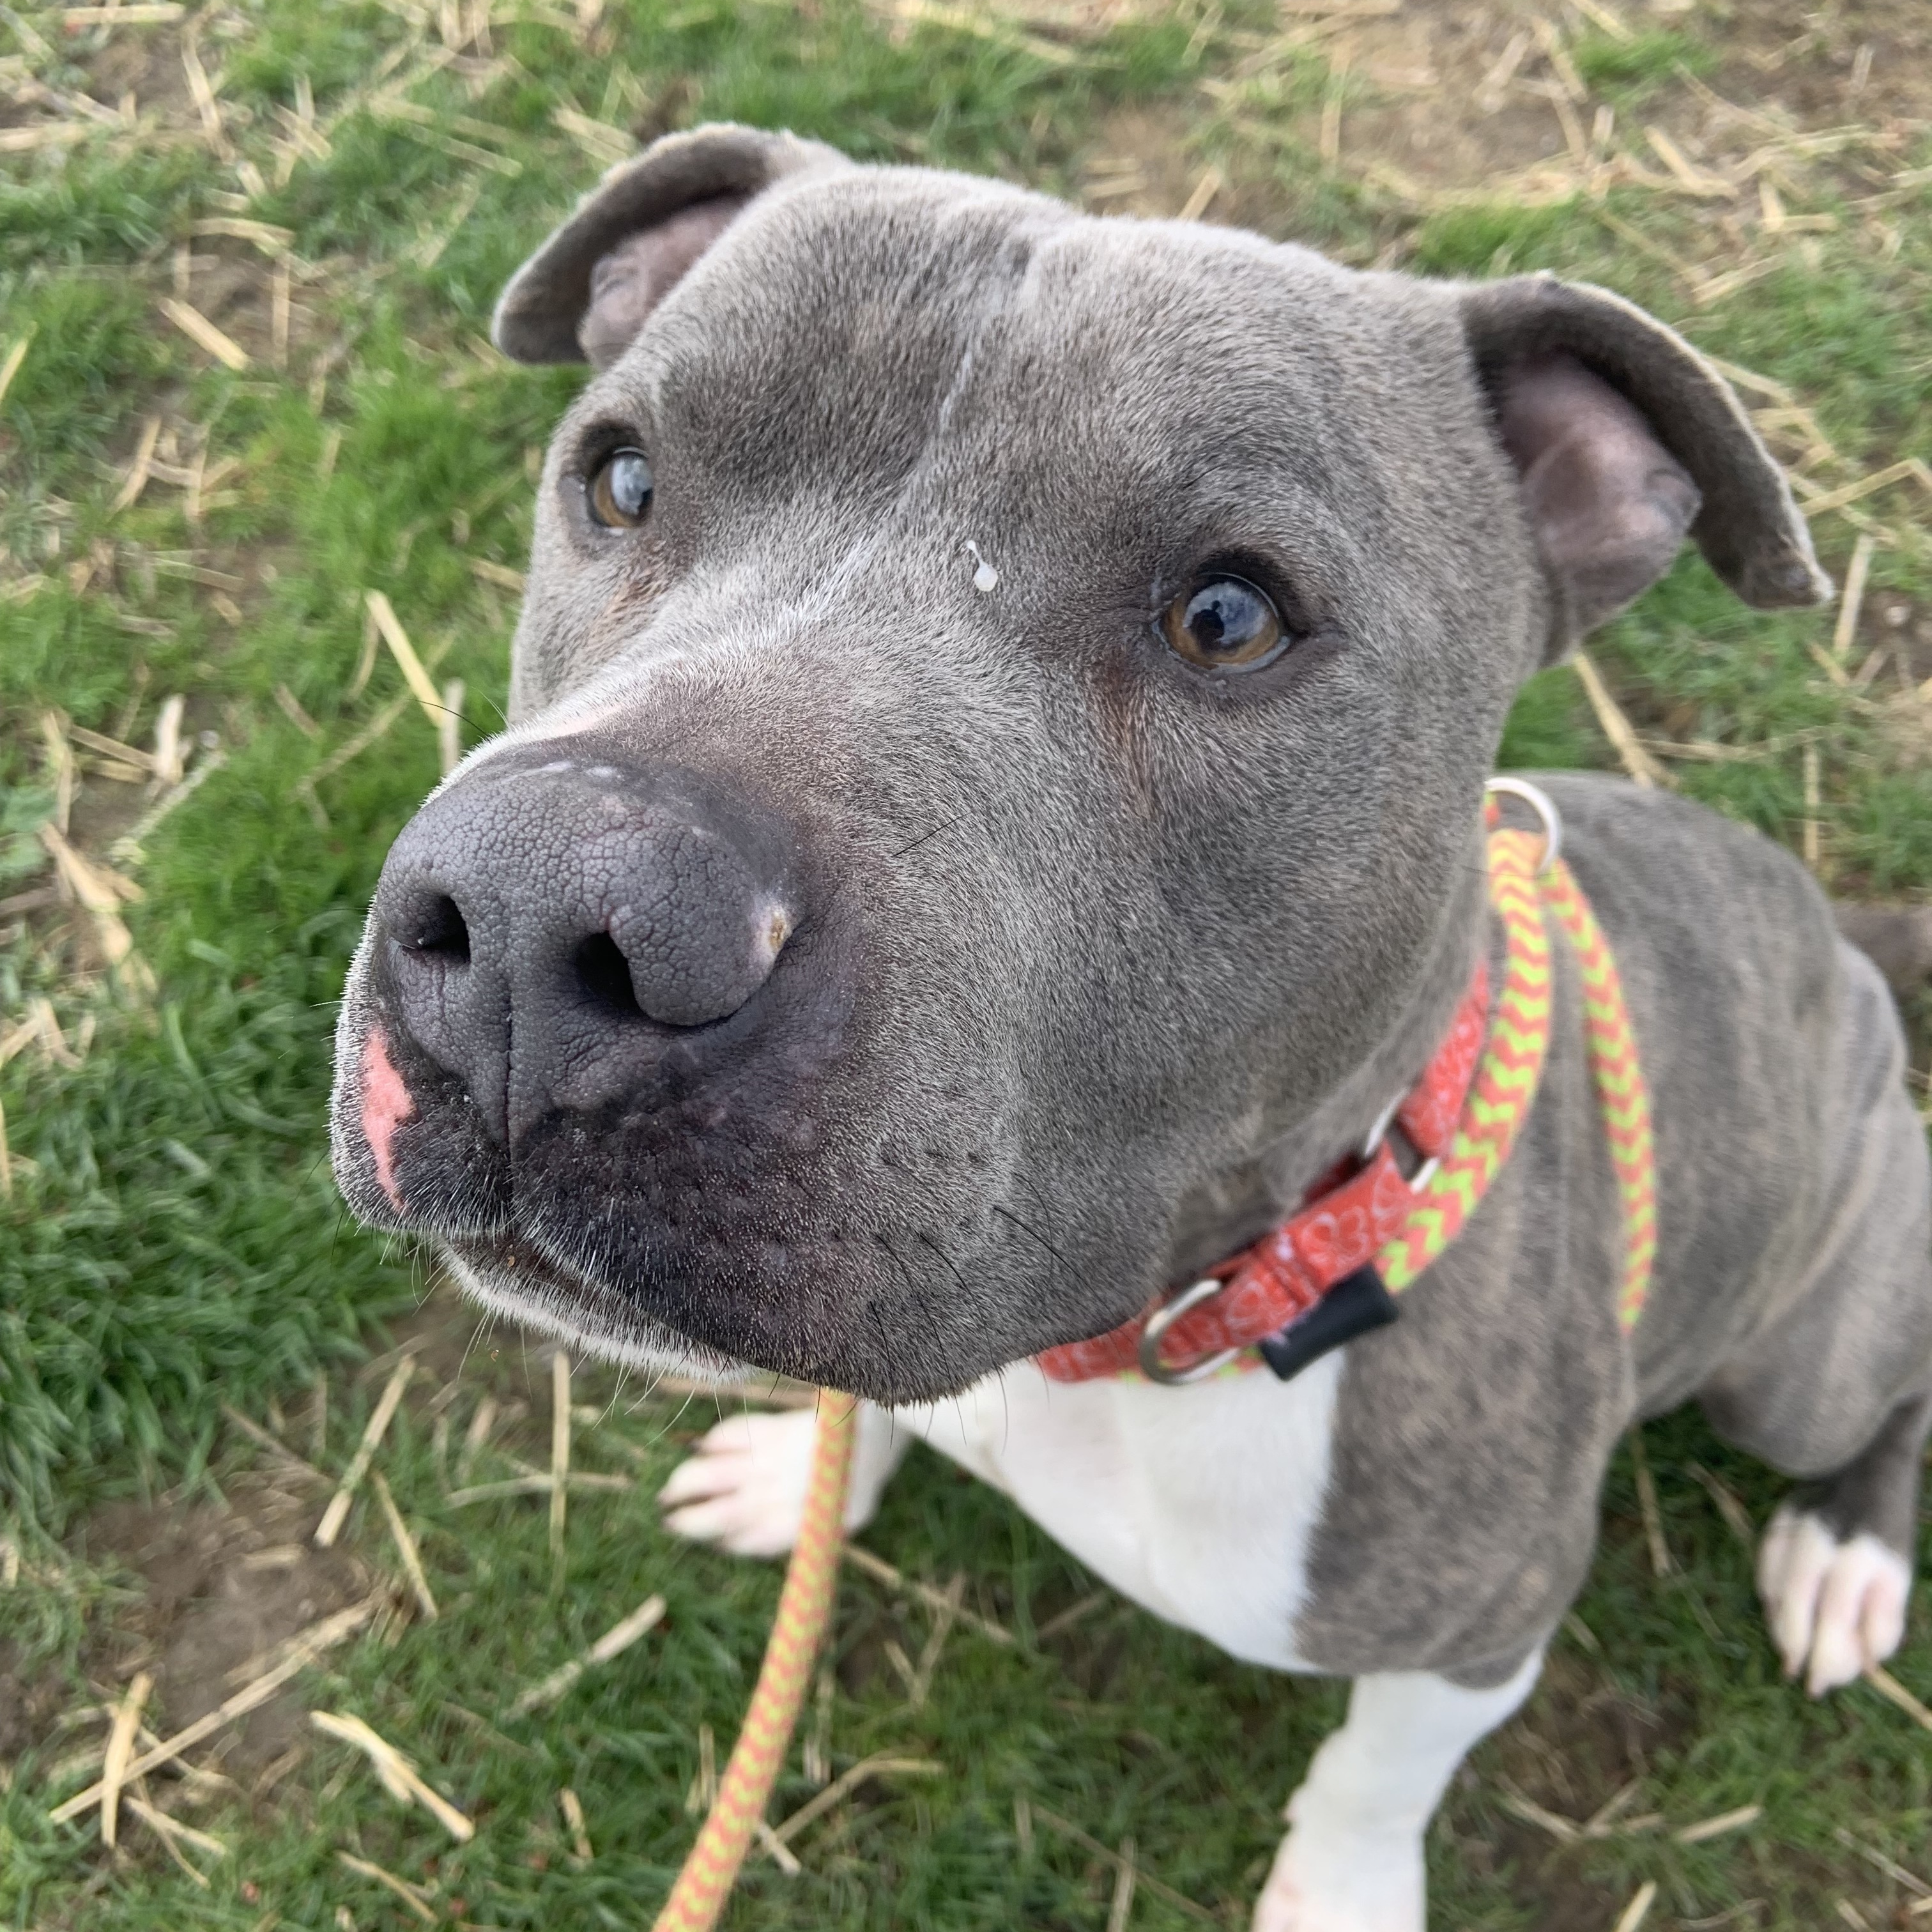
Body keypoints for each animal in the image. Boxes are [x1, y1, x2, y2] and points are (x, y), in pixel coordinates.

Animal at [332, 128, 1932, 1924]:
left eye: (1229, 619)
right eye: (619, 481)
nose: (535, 920)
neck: (1147, 1340)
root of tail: (1841, 946)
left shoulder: (1483, 1625)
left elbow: (1375, 1775)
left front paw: (1340, 1891)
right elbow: (854, 1427)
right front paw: (796, 1476)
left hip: (1801, 1351)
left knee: (1889, 1392)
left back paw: (1847, 1553)